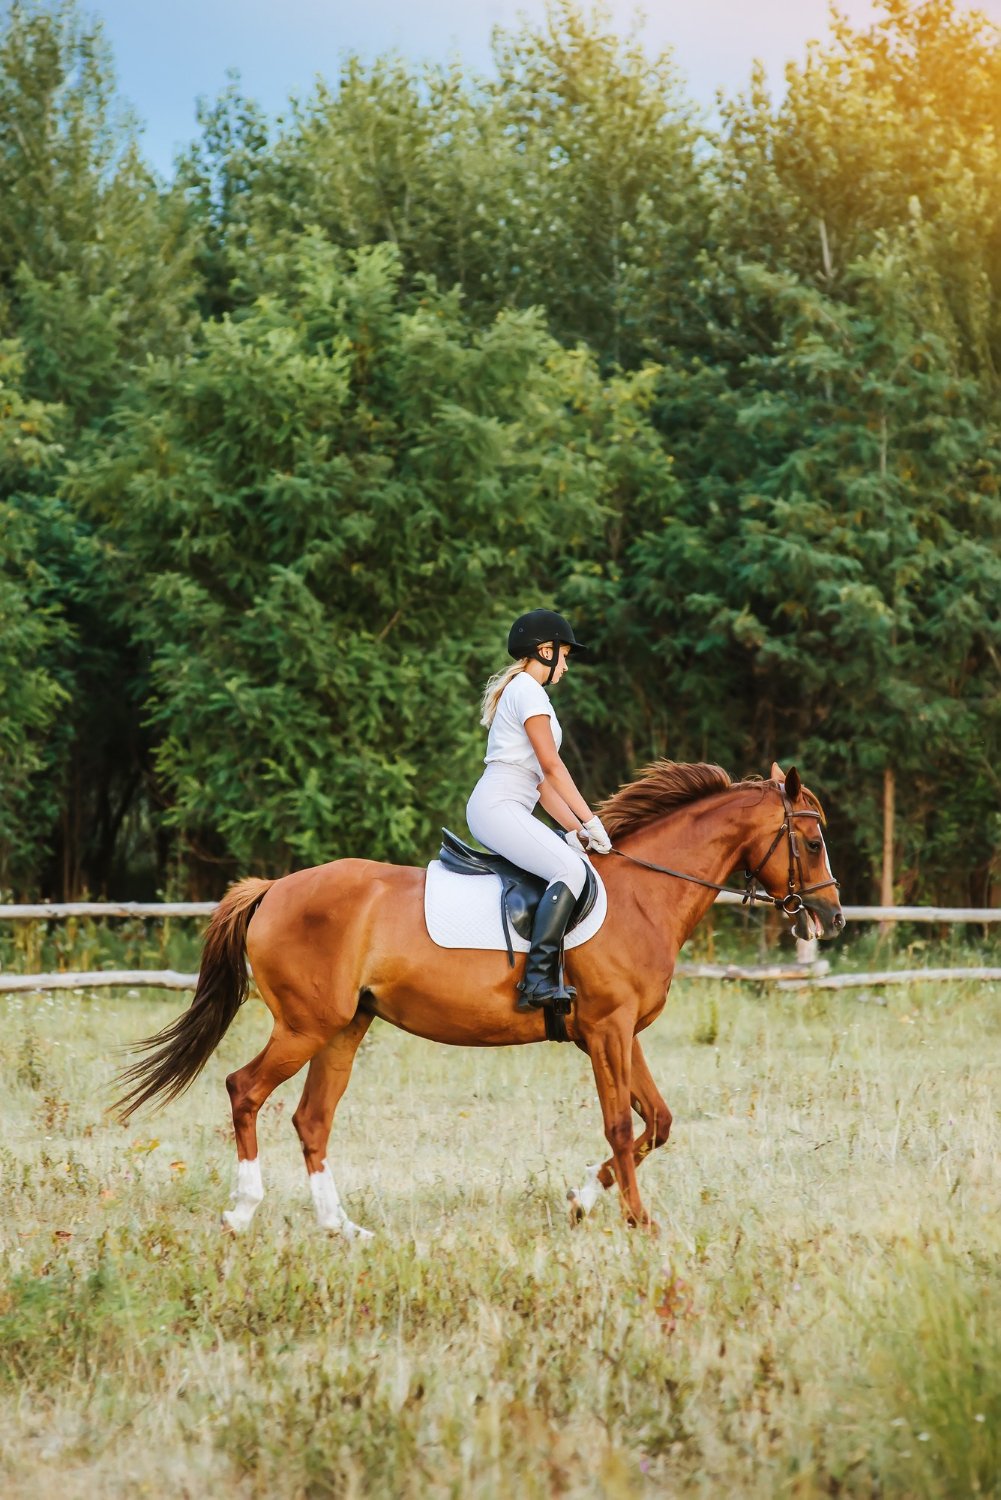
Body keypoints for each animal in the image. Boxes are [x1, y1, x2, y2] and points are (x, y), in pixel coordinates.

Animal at [115, 761, 844, 1235]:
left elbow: (655, 1122)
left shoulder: (620, 1032)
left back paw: (341, 1228)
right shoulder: (606, 1031)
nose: (831, 918)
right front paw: (638, 1220)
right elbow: (617, 1125)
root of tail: (272, 889)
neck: (643, 895)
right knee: (244, 1090)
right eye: (811, 840)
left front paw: (581, 1201)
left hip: (344, 1029)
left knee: (311, 1120)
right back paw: (243, 1211)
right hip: (304, 1025)